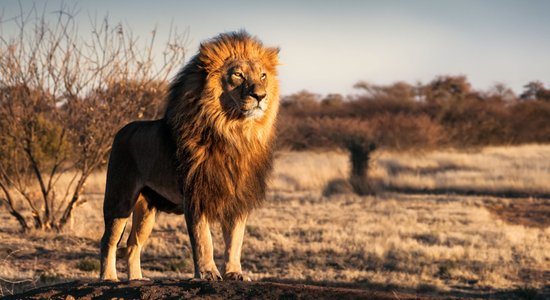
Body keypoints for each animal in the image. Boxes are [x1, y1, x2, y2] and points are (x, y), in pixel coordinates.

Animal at [99, 31, 280, 282]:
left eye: (263, 75)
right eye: (238, 74)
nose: (260, 95)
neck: (234, 132)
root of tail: (122, 130)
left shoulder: (238, 197)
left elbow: (235, 240)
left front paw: (234, 273)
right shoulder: (196, 194)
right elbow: (204, 240)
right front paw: (208, 273)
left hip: (147, 208)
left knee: (133, 244)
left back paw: (136, 279)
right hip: (120, 199)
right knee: (108, 240)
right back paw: (108, 278)